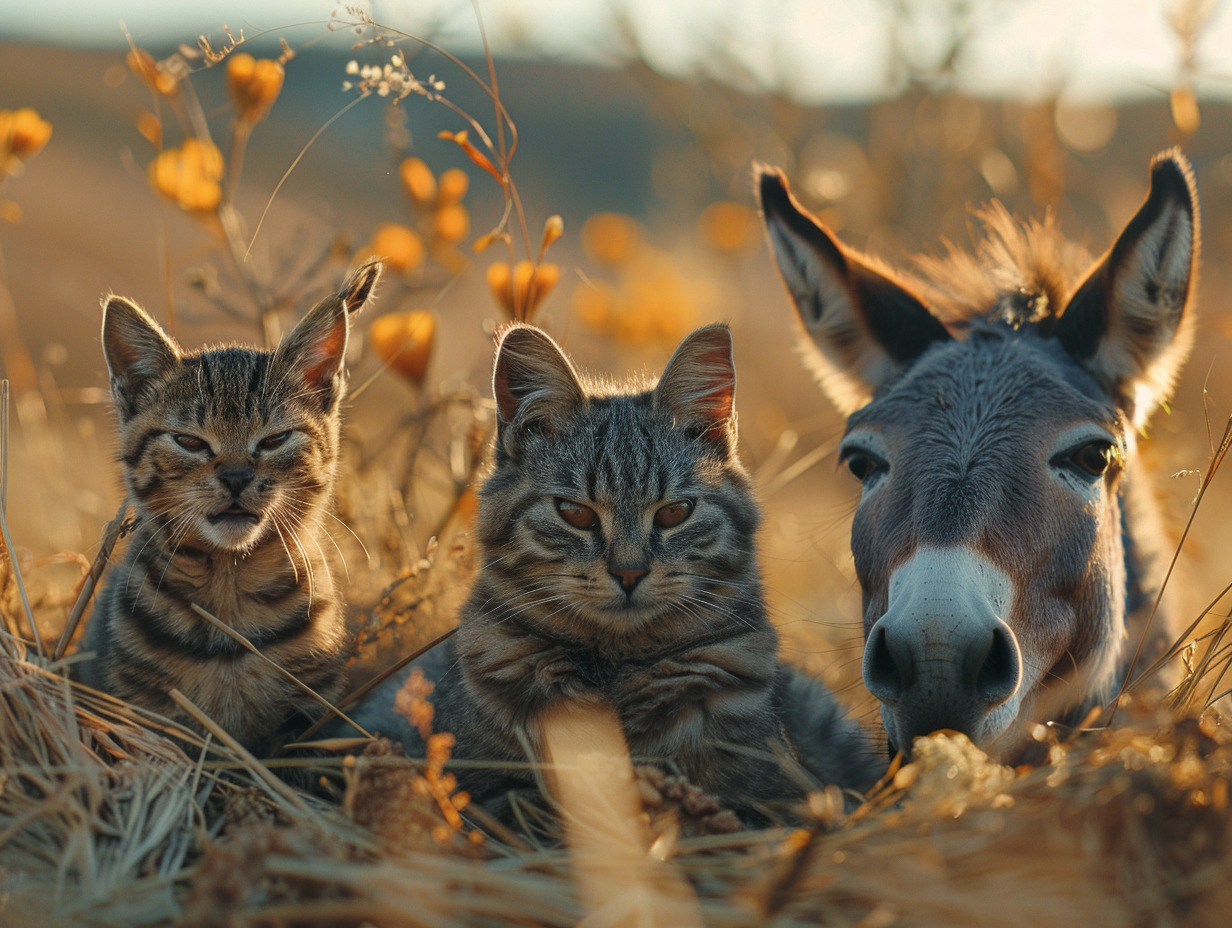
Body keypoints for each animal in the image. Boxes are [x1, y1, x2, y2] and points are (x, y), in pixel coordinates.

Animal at [77, 257, 379, 749]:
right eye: (189, 442)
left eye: (275, 440)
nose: (236, 477)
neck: (228, 591)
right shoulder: (145, 711)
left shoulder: (310, 716)